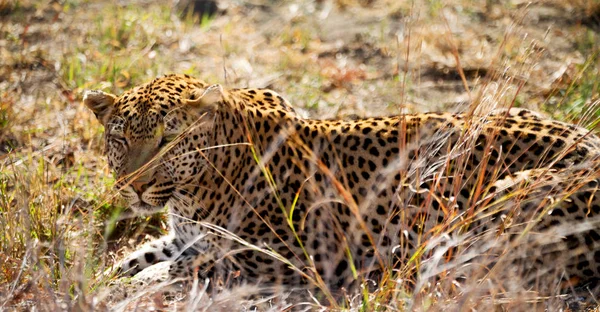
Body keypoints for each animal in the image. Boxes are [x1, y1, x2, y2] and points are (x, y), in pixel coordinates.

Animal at [85, 73, 600, 302]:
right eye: (120, 138)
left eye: (168, 140)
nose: (133, 187)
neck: (191, 192)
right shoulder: (185, 235)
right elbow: (140, 255)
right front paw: (104, 277)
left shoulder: (289, 256)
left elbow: (186, 267)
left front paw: (141, 284)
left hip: (493, 205)